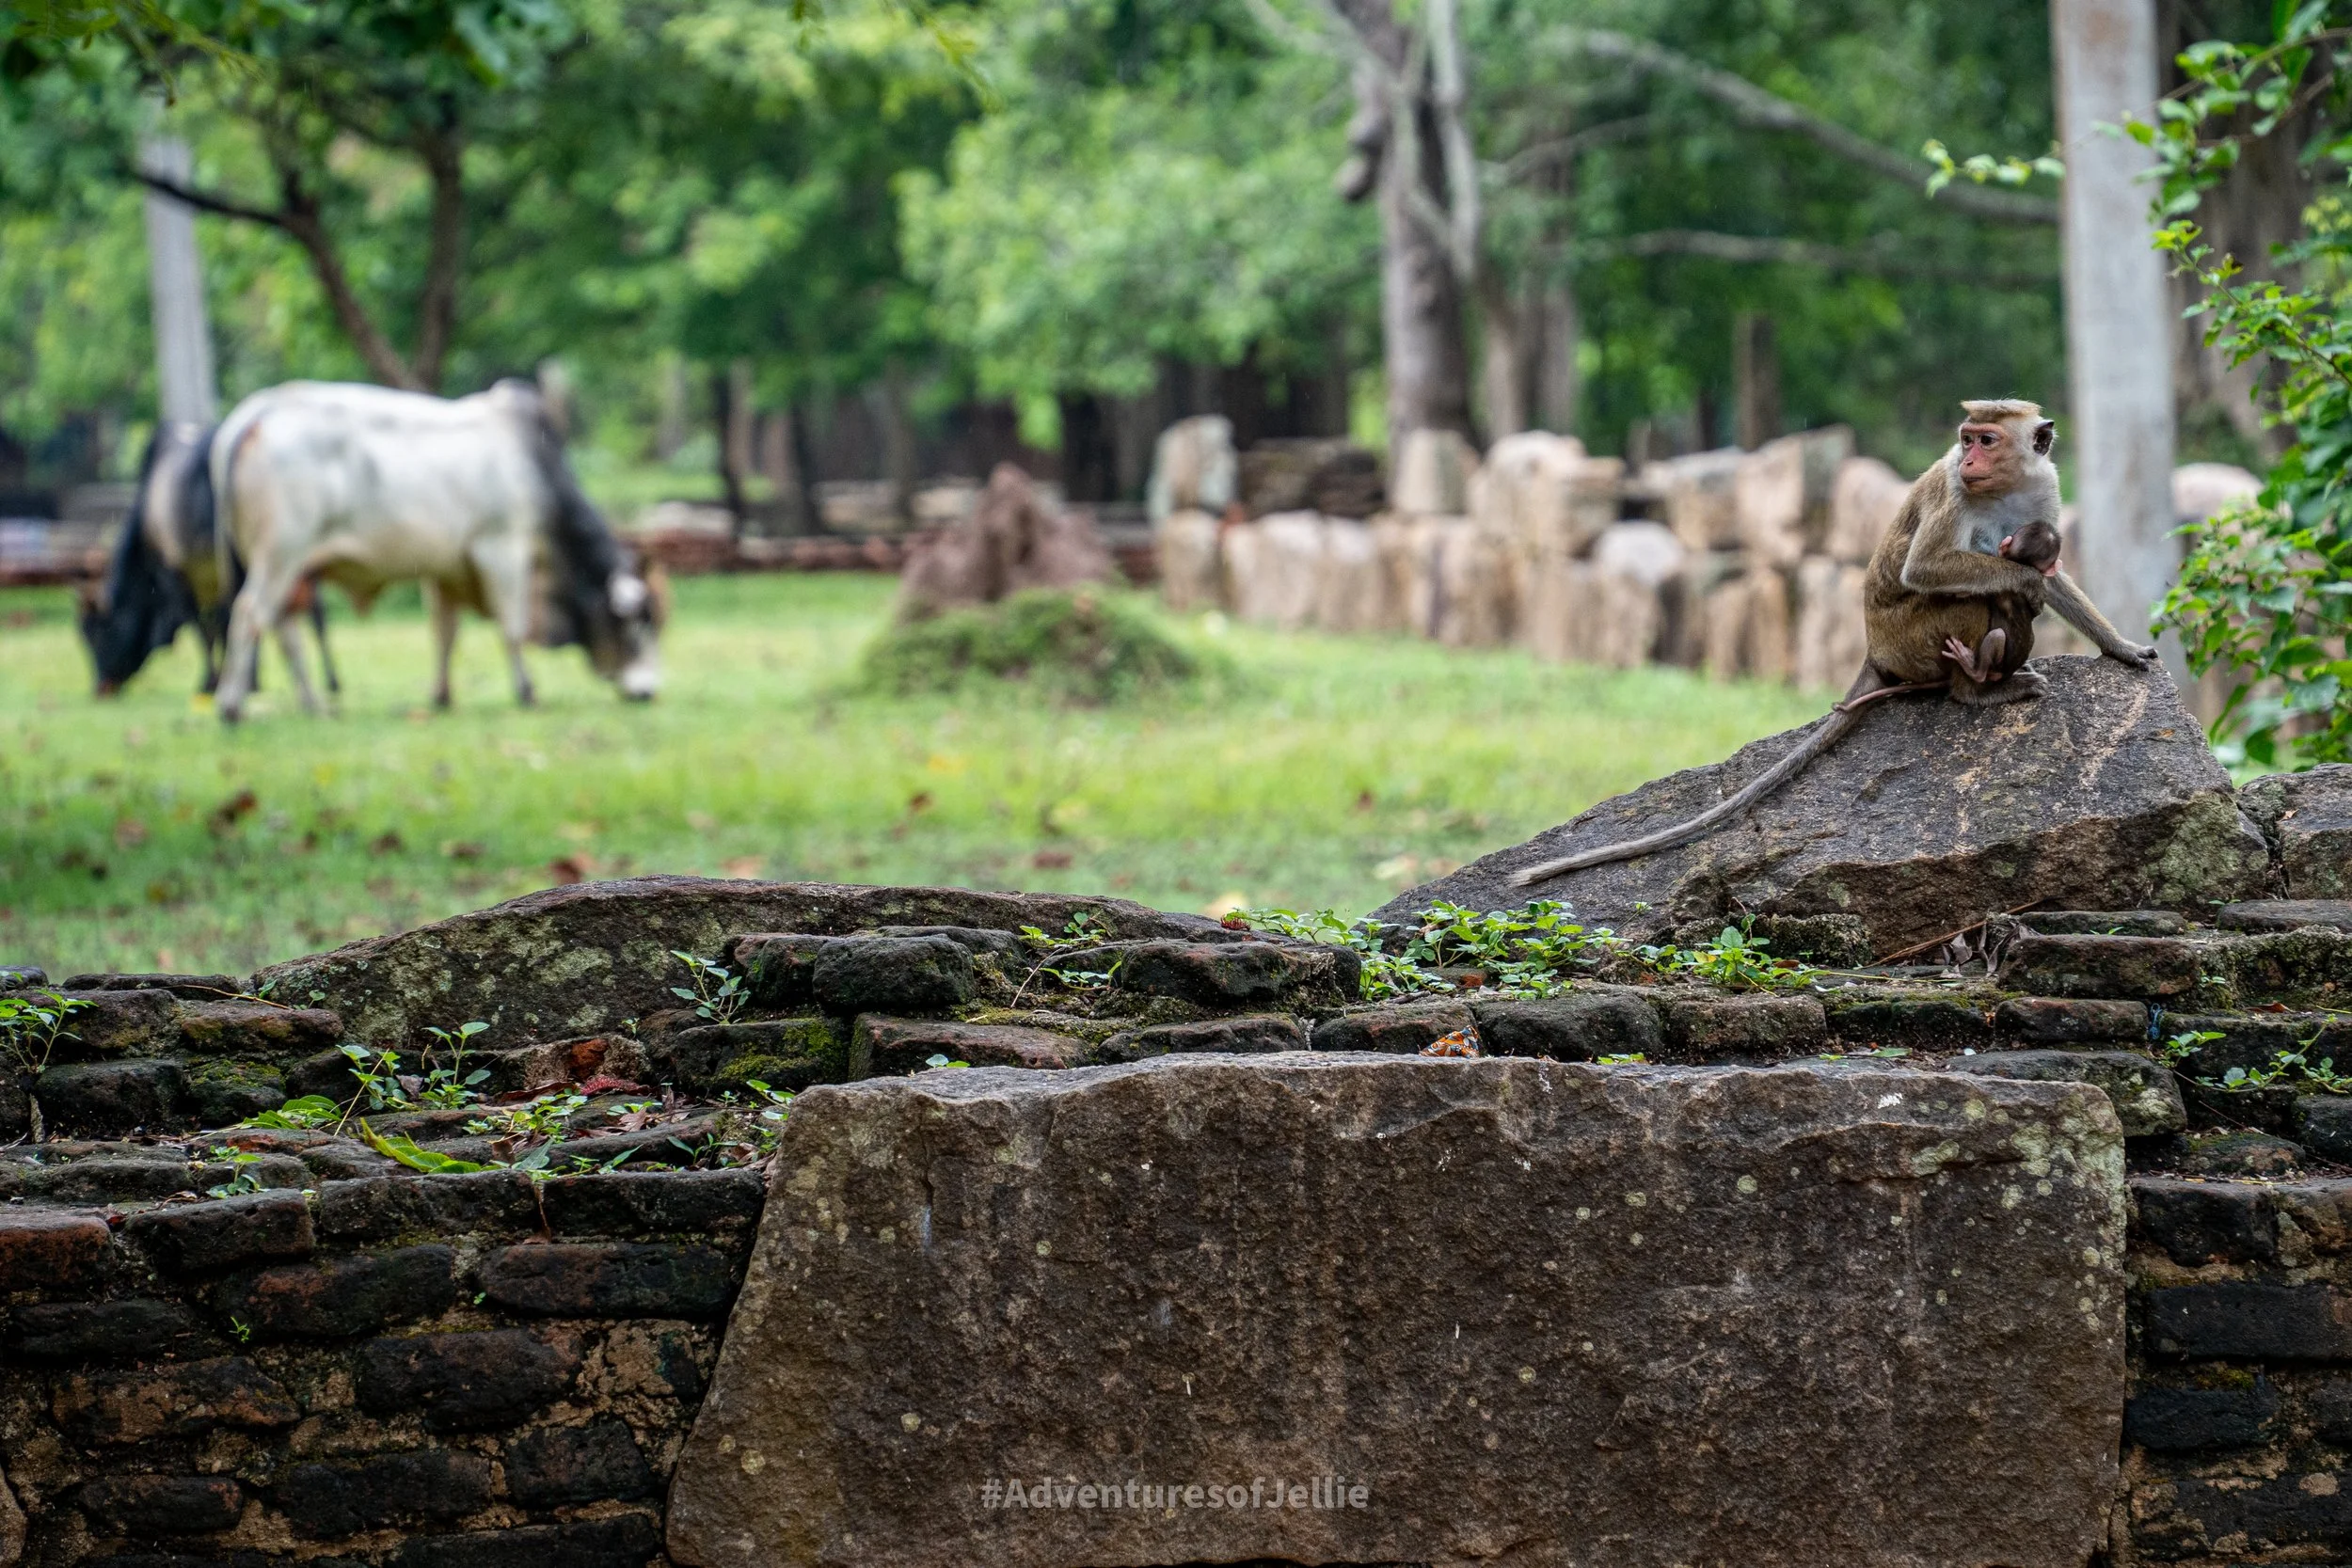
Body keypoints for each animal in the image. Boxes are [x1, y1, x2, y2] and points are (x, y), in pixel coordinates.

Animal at [1511, 402, 2159, 887]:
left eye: (1989, 439)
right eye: (1968, 440)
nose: (1972, 456)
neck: (2004, 487)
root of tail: (1875, 650)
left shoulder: (2045, 489)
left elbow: (2051, 572)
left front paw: (2119, 646)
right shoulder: (1954, 489)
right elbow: (1931, 569)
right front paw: (2024, 582)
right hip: (1912, 640)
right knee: (1970, 600)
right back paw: (1975, 689)